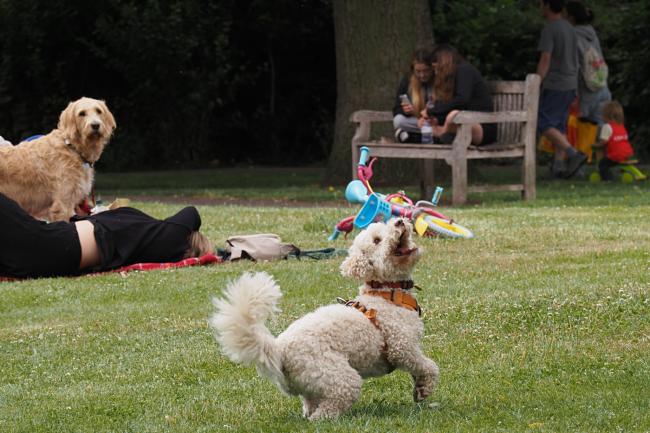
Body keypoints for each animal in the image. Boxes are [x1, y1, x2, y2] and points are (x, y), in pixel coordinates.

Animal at [210, 218, 438, 420]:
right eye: (377, 240)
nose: (399, 221)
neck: (385, 292)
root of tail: (278, 349)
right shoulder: (402, 347)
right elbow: (427, 366)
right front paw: (426, 387)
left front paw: (419, 389)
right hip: (339, 377)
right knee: (325, 412)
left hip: (312, 384)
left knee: (310, 405)